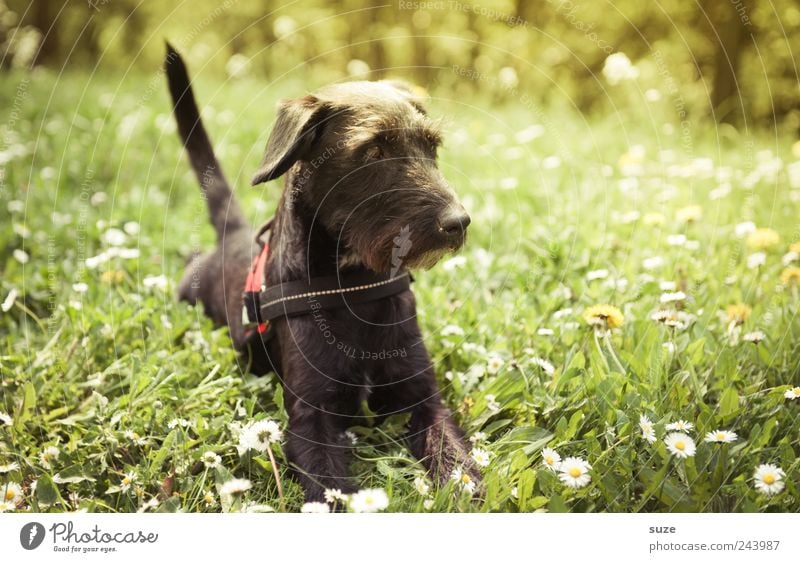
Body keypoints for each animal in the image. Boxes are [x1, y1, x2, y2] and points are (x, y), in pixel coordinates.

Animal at [165, 43, 478, 498]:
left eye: (431, 146)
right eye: (374, 150)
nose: (458, 223)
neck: (352, 284)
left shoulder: (425, 399)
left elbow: (453, 456)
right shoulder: (312, 419)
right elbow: (328, 491)